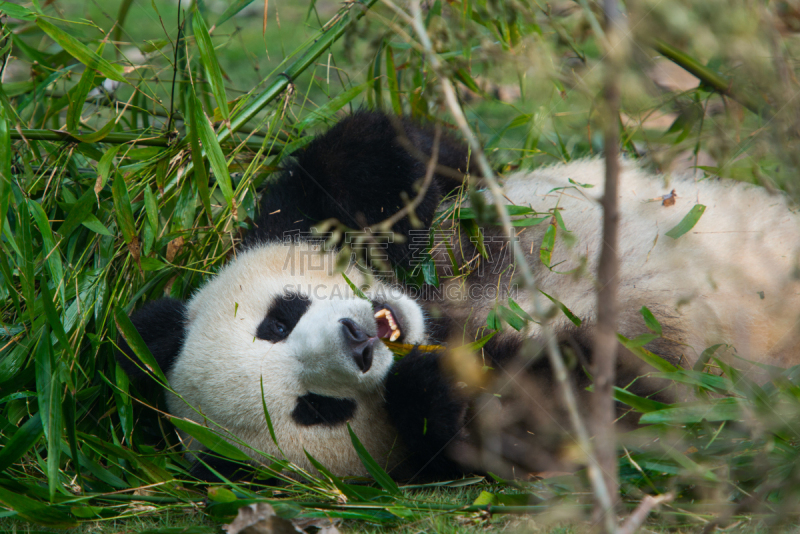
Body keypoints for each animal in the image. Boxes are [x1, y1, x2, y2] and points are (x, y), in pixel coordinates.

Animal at [115, 111, 800, 484]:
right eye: (316, 410)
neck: (440, 315)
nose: (356, 339)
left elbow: (385, 153)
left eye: (278, 321)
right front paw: (445, 380)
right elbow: (585, 417)